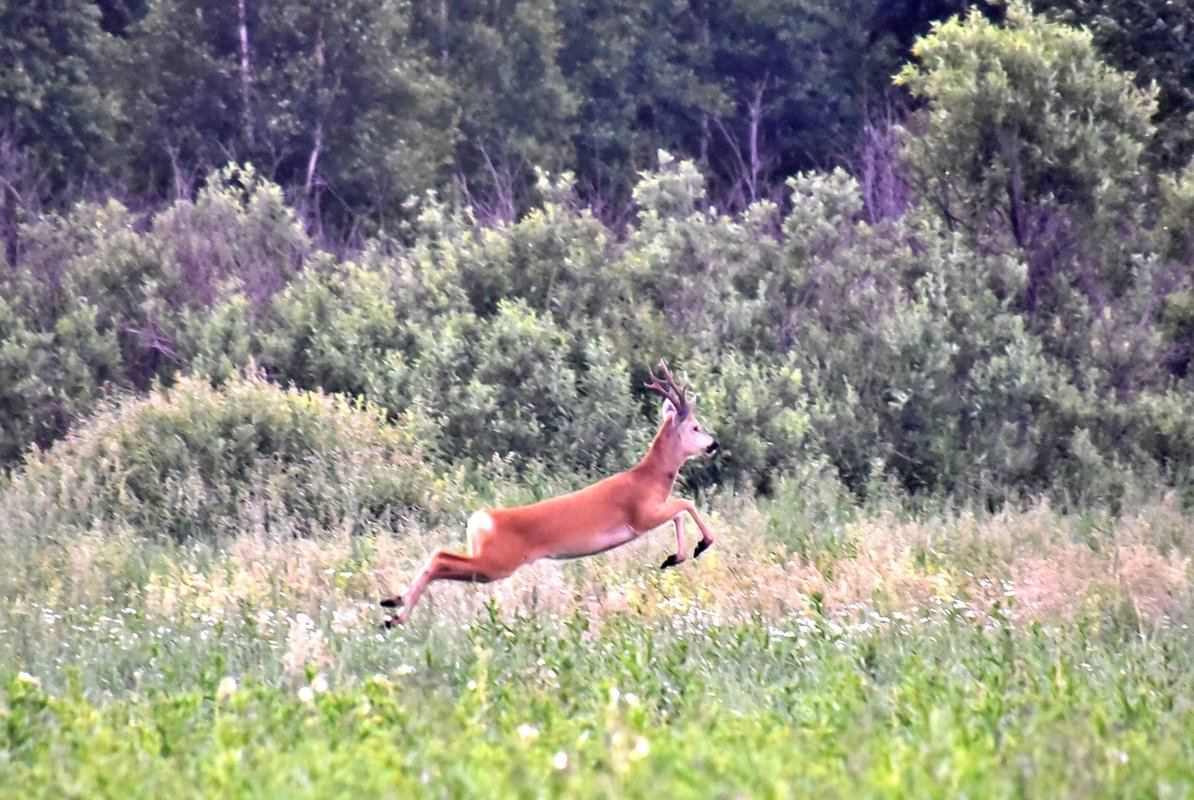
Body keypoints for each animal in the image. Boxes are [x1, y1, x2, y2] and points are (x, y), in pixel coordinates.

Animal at [382, 360, 716, 630]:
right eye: (696, 427)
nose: (715, 444)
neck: (650, 478)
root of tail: (481, 519)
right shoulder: (641, 515)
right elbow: (684, 504)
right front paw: (699, 546)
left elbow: (680, 510)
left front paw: (675, 557)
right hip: (496, 563)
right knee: (441, 559)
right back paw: (395, 614)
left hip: (486, 558)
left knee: (438, 554)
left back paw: (392, 606)